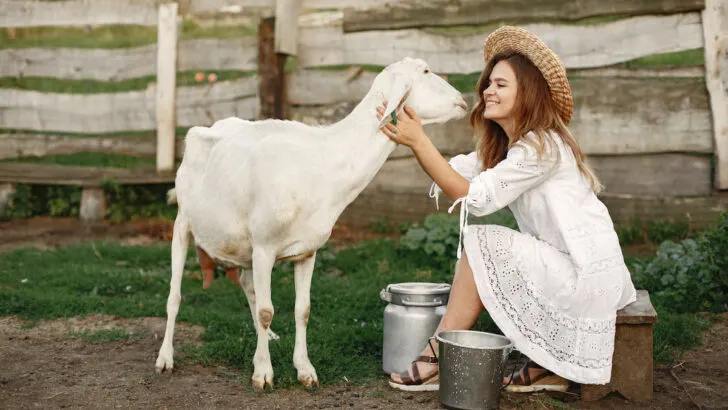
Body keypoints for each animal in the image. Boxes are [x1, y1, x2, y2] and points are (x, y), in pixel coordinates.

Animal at [154, 57, 467, 390]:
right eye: (425, 72)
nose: (462, 101)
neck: (322, 163)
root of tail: (206, 128)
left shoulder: (306, 251)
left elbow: (302, 310)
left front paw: (304, 370)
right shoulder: (264, 247)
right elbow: (266, 310)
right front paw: (263, 373)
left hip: (244, 246)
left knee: (247, 285)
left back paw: (267, 338)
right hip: (183, 223)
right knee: (175, 295)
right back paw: (165, 358)